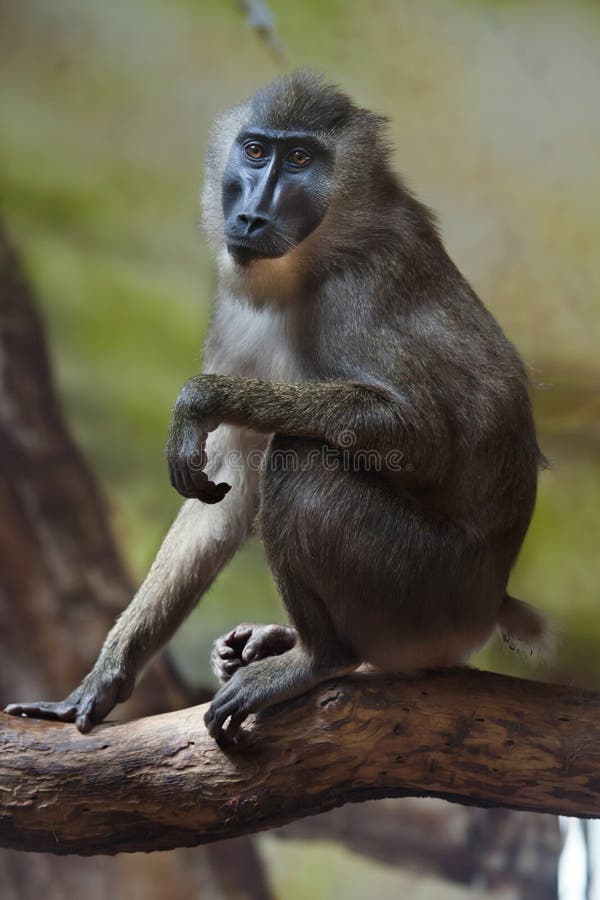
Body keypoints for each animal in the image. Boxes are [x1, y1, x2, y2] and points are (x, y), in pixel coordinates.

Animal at [5, 71, 549, 743]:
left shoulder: (363, 285)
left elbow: (420, 437)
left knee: (302, 459)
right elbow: (226, 486)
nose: (251, 213)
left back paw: (317, 658)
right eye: (256, 150)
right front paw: (103, 679)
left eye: (299, 159)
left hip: (421, 596)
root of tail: (490, 604)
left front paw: (200, 399)